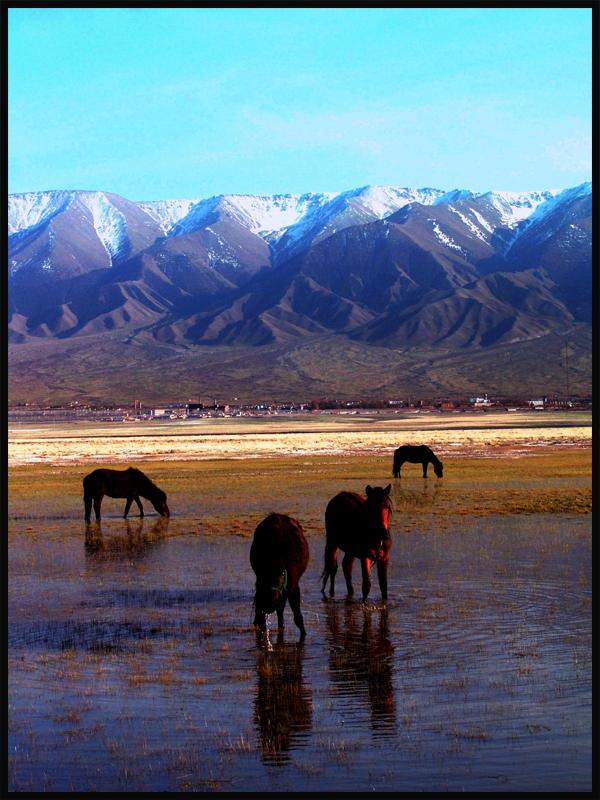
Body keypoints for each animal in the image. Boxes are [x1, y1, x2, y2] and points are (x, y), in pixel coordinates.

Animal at [251, 512, 310, 644]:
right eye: (263, 582)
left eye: (282, 576)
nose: (269, 603)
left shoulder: (293, 587)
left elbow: (297, 617)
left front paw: (304, 634)